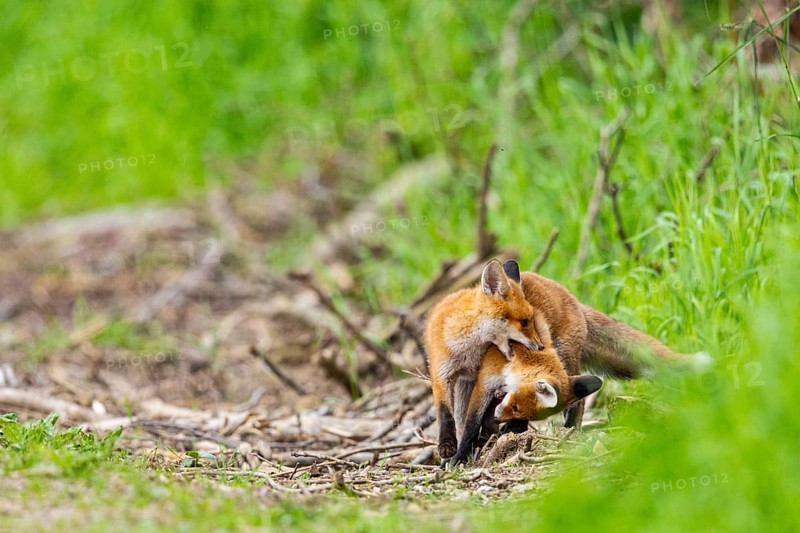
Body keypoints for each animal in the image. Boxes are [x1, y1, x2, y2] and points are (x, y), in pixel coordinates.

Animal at [424, 259, 545, 462]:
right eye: (524, 322)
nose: (541, 346)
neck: (468, 347)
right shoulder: (442, 373)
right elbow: (444, 413)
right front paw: (447, 445)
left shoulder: (484, 371)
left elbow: (487, 412)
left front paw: (483, 435)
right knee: (460, 418)